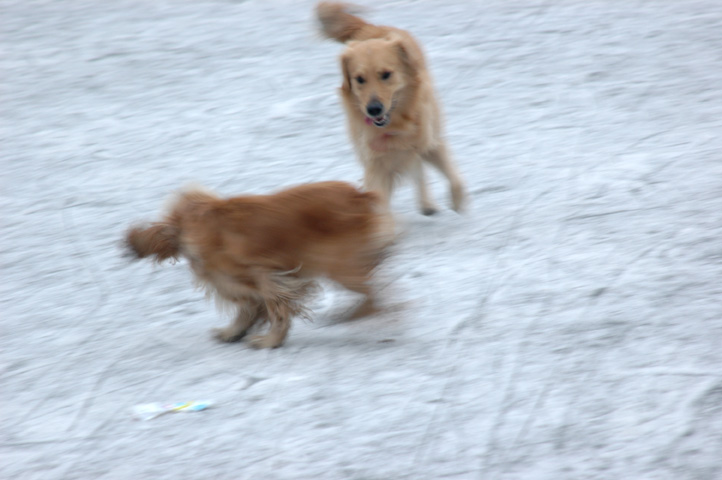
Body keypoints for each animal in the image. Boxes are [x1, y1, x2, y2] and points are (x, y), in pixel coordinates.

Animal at [125, 180, 394, 348]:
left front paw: (270, 341)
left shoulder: (265, 278)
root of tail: (361, 196)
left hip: (341, 268)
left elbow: (276, 311)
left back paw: (358, 319)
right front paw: (233, 332)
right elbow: (249, 310)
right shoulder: (248, 284)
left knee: (379, 300)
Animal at [316, 1, 466, 216]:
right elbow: (379, 200)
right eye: (359, 79)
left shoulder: (431, 142)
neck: (397, 124)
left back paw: (427, 203)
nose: (373, 109)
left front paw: (457, 201)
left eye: (386, 74)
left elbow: (454, 178)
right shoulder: (376, 163)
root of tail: (371, 28)